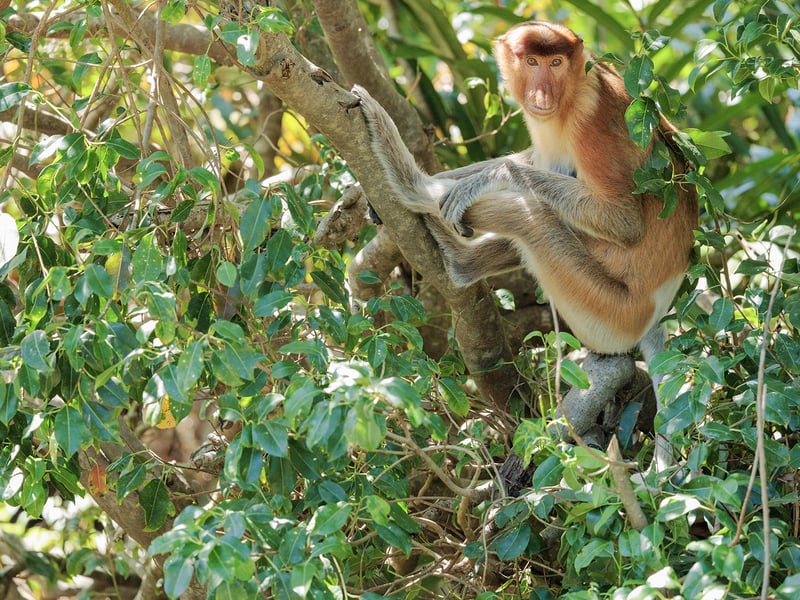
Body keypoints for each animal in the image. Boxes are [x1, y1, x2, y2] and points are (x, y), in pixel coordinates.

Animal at [353, 20, 697, 468]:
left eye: (556, 63)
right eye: (532, 62)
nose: (542, 97)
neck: (572, 94)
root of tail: (657, 311)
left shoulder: (594, 119)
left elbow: (623, 223)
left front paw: (484, 177)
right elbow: (533, 158)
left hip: (606, 313)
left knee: (532, 214)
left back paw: (419, 194)